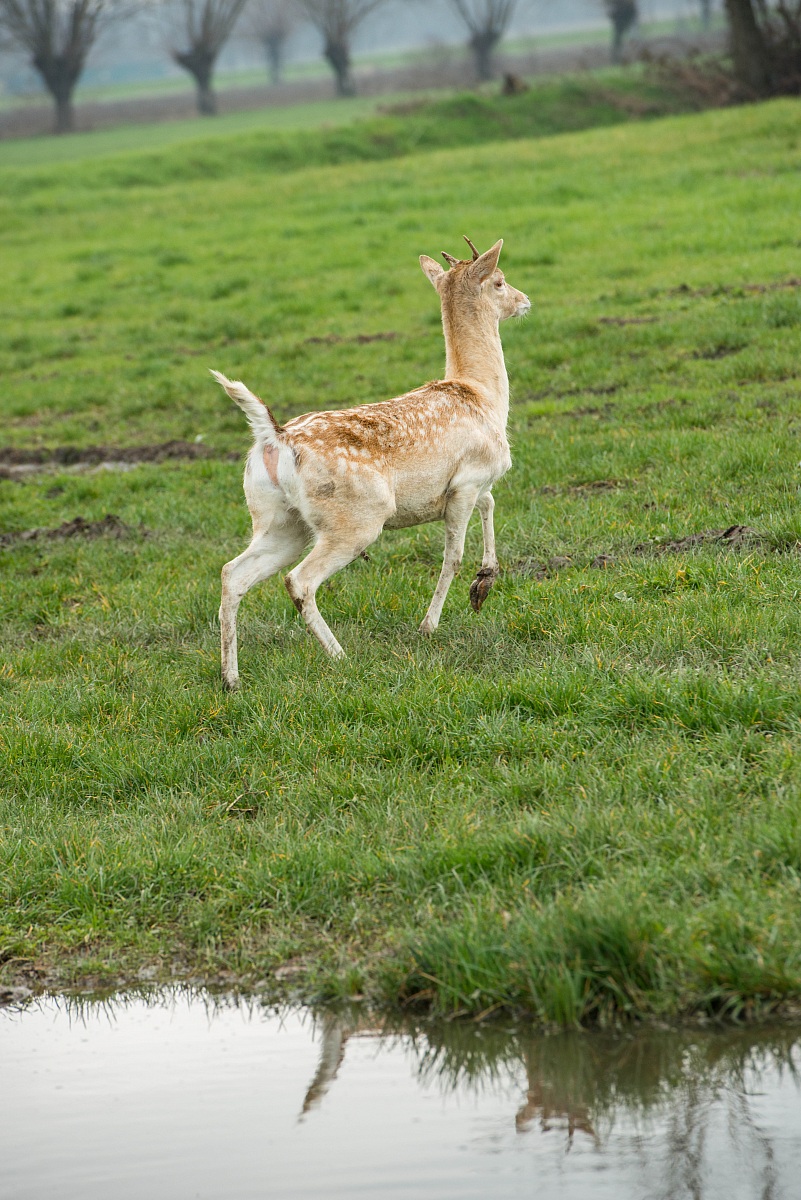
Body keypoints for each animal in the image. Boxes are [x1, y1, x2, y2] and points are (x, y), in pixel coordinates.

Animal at [211, 236, 529, 689]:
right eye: (499, 281)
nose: (524, 301)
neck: (483, 396)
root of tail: (275, 438)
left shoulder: (469, 486)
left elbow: (490, 504)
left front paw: (482, 585)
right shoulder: (466, 481)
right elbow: (453, 554)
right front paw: (428, 625)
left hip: (279, 521)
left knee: (232, 573)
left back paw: (231, 678)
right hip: (357, 518)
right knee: (299, 580)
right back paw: (340, 657)